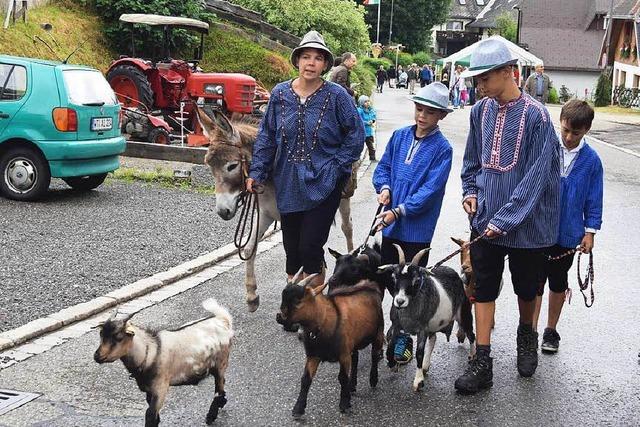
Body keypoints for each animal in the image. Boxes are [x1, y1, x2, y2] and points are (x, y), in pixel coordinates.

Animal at [94, 300, 234, 426]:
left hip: (221, 363)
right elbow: (152, 413)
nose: (97, 356)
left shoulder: (161, 388)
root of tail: (222, 319)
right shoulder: (149, 389)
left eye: (118, 337)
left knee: (219, 387)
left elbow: (150, 414)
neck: (152, 351)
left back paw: (211, 415)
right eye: (101, 334)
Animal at [276, 270, 384, 418]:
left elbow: (342, 377)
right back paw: (352, 385)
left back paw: (373, 379)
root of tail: (371, 286)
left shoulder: (343, 354)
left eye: (298, 301)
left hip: (378, 333)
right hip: (353, 342)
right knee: (355, 359)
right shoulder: (313, 355)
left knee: (374, 356)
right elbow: (305, 379)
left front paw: (344, 404)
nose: (279, 317)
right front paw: (298, 408)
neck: (324, 321)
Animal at [380, 246, 476, 392]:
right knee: (434, 338)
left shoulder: (422, 329)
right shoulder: (397, 325)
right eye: (394, 277)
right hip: (433, 323)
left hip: (463, 313)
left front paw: (418, 381)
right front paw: (392, 364)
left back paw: (473, 356)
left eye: (416, 281)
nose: (399, 301)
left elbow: (419, 352)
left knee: (471, 334)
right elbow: (391, 345)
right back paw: (425, 366)